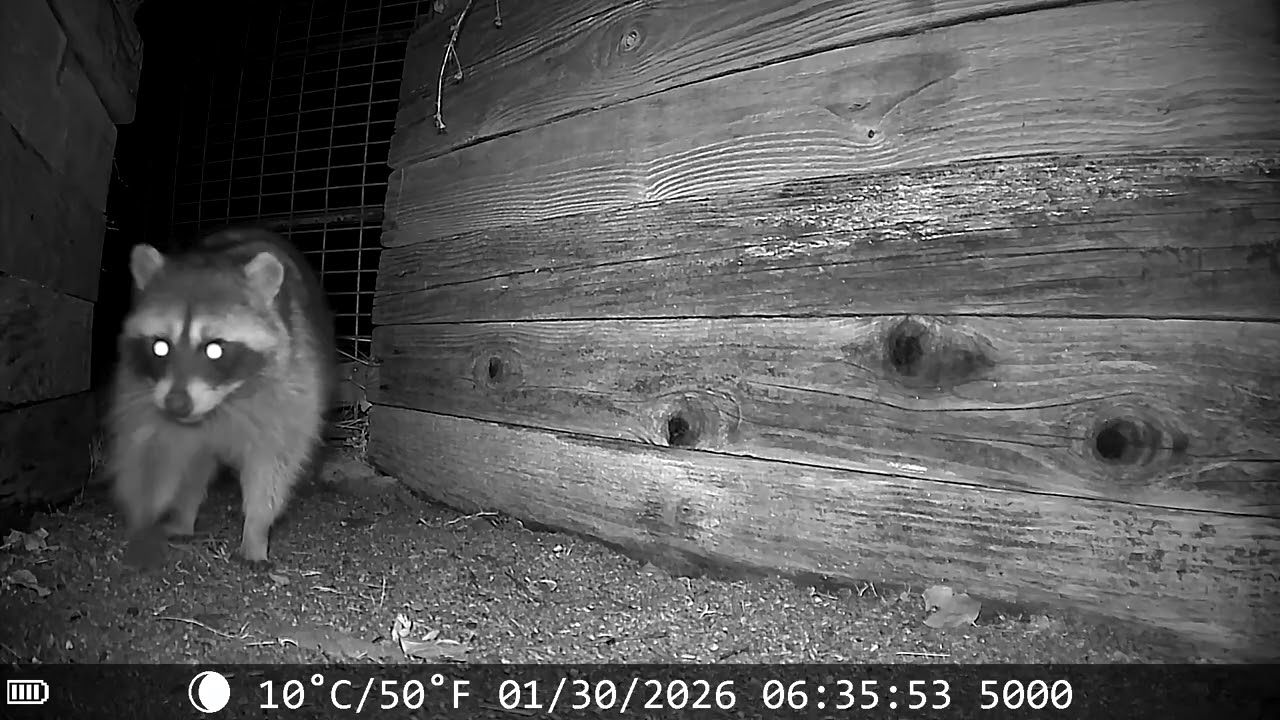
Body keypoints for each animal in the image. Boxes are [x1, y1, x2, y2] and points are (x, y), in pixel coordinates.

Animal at [106, 227, 336, 565]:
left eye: (215, 349)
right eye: (160, 346)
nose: (176, 404)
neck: (222, 402)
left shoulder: (290, 390)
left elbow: (272, 466)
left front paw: (256, 530)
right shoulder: (143, 396)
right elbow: (165, 458)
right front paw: (167, 513)